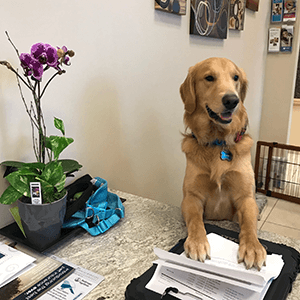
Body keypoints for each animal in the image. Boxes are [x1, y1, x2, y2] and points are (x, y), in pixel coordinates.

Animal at [179, 57, 266, 270]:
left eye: (235, 78)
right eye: (209, 77)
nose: (232, 100)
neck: (218, 142)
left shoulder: (246, 197)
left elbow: (249, 222)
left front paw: (253, 247)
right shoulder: (191, 197)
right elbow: (195, 220)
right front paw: (197, 242)